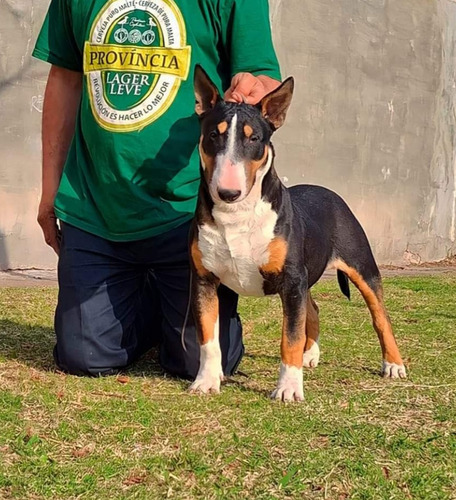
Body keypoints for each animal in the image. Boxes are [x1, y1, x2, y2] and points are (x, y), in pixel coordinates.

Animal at [189, 66, 406, 402]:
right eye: (214, 134)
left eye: (254, 138)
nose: (228, 192)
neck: (237, 216)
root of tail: (327, 191)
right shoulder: (204, 280)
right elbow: (208, 339)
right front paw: (206, 382)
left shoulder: (292, 280)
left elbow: (290, 337)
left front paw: (288, 389)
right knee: (313, 309)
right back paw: (310, 355)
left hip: (361, 267)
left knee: (380, 316)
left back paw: (393, 365)